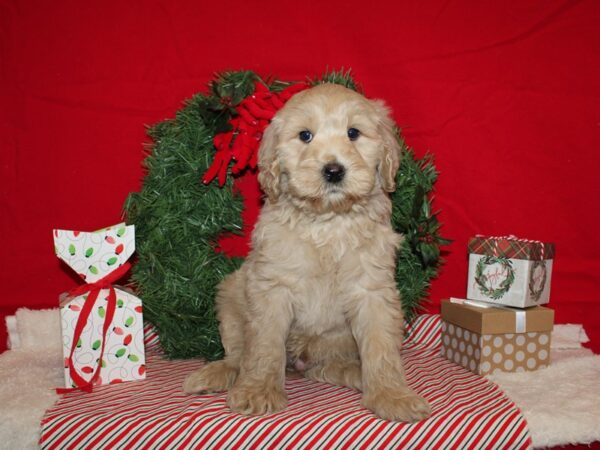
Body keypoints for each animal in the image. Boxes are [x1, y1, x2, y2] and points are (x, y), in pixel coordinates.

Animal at [183, 83, 432, 422]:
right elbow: (264, 345)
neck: (327, 221)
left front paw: (391, 394)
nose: (333, 171)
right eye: (305, 136)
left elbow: (381, 346)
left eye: (353, 133)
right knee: (238, 353)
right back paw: (219, 373)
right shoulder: (272, 287)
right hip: (231, 295)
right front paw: (258, 390)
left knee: (328, 365)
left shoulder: (373, 290)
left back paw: (356, 373)